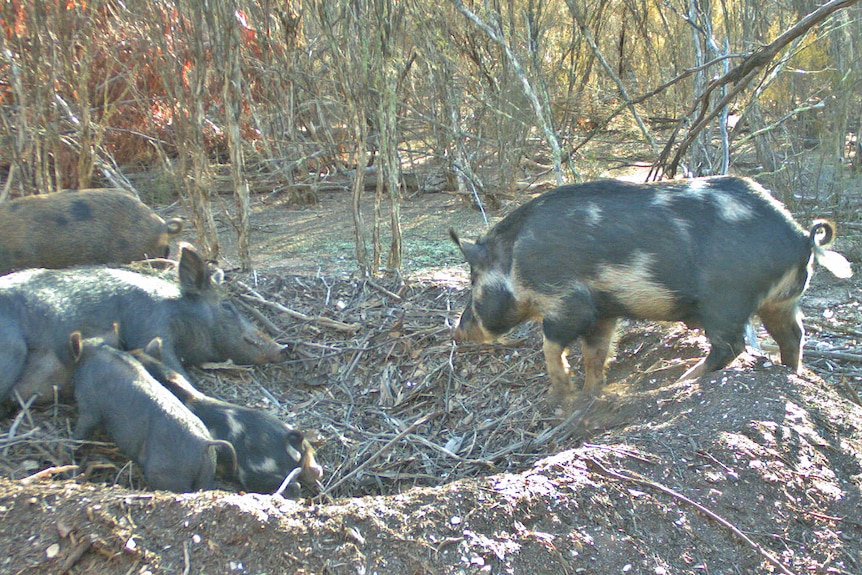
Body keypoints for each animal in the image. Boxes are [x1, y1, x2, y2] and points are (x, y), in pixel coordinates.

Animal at [0, 243, 286, 404]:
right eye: (226, 305)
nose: (281, 348)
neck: (174, 310)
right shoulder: (150, 326)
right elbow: (177, 372)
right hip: (11, 349)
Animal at [452, 176, 856, 404]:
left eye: (473, 280)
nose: (458, 331)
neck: (516, 261)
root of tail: (800, 236)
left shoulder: (567, 301)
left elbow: (551, 345)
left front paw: (560, 397)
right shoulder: (604, 312)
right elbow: (595, 354)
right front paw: (591, 394)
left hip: (725, 299)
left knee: (732, 346)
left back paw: (680, 381)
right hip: (781, 301)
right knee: (793, 336)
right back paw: (791, 374)